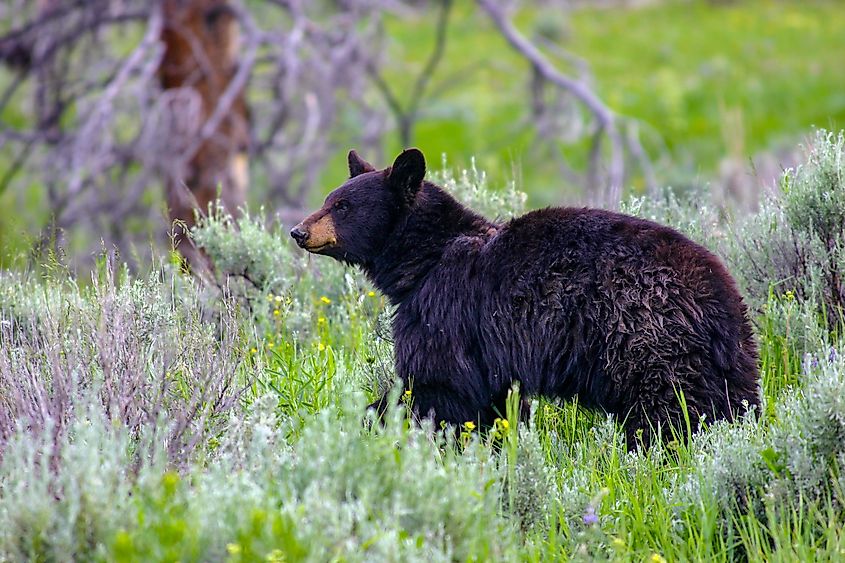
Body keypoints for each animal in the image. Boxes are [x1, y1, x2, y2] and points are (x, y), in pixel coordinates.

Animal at [290, 148, 760, 447]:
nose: (298, 231)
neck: (426, 259)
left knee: (669, 410)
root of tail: (719, 295)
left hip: (645, 338)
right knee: (730, 400)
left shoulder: (446, 311)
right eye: (329, 199)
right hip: (727, 357)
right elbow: (490, 403)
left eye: (343, 206)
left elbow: (437, 386)